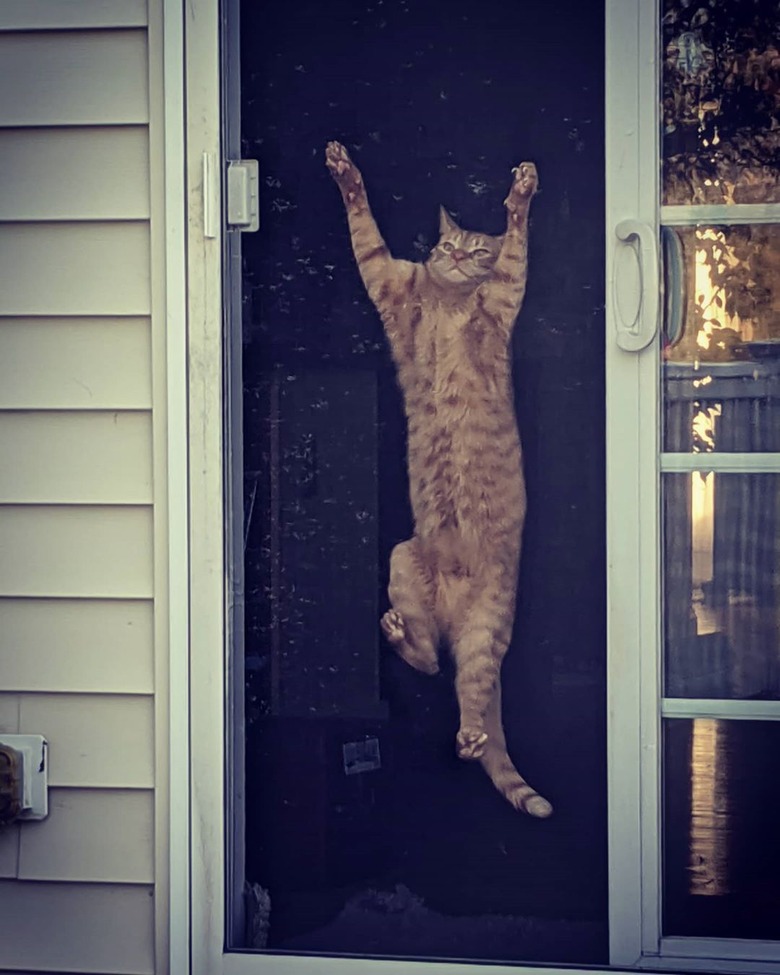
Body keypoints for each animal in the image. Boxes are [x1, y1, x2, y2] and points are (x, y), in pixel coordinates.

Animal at [326, 143, 552, 816]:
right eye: (449, 244)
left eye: (476, 252)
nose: (452, 256)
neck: (450, 301)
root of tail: (453, 619)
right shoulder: (388, 282)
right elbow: (364, 227)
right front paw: (344, 173)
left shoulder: (504, 295)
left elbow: (517, 242)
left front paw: (521, 196)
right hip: (403, 563)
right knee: (428, 662)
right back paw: (401, 633)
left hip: (483, 636)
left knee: (466, 695)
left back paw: (472, 737)